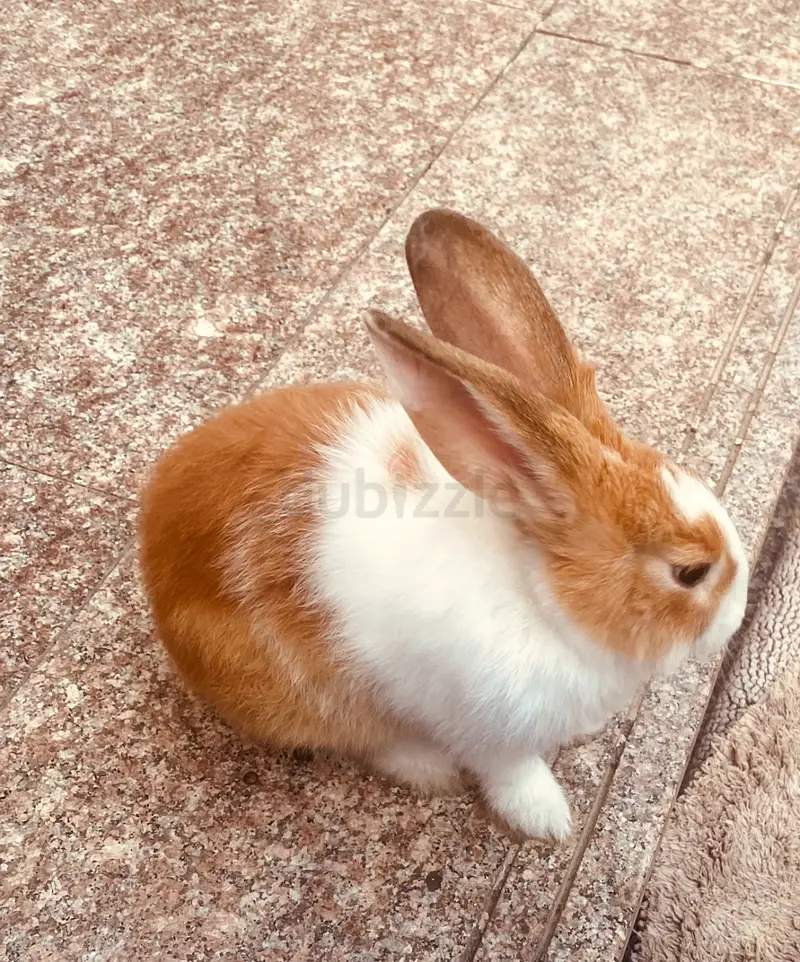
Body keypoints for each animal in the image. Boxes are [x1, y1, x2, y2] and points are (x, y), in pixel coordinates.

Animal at [138, 208, 749, 840]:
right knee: (362, 738)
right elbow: (513, 775)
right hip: (311, 698)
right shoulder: (488, 729)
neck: (543, 600)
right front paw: (548, 823)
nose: (737, 618)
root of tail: (151, 535)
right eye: (690, 572)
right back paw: (429, 767)